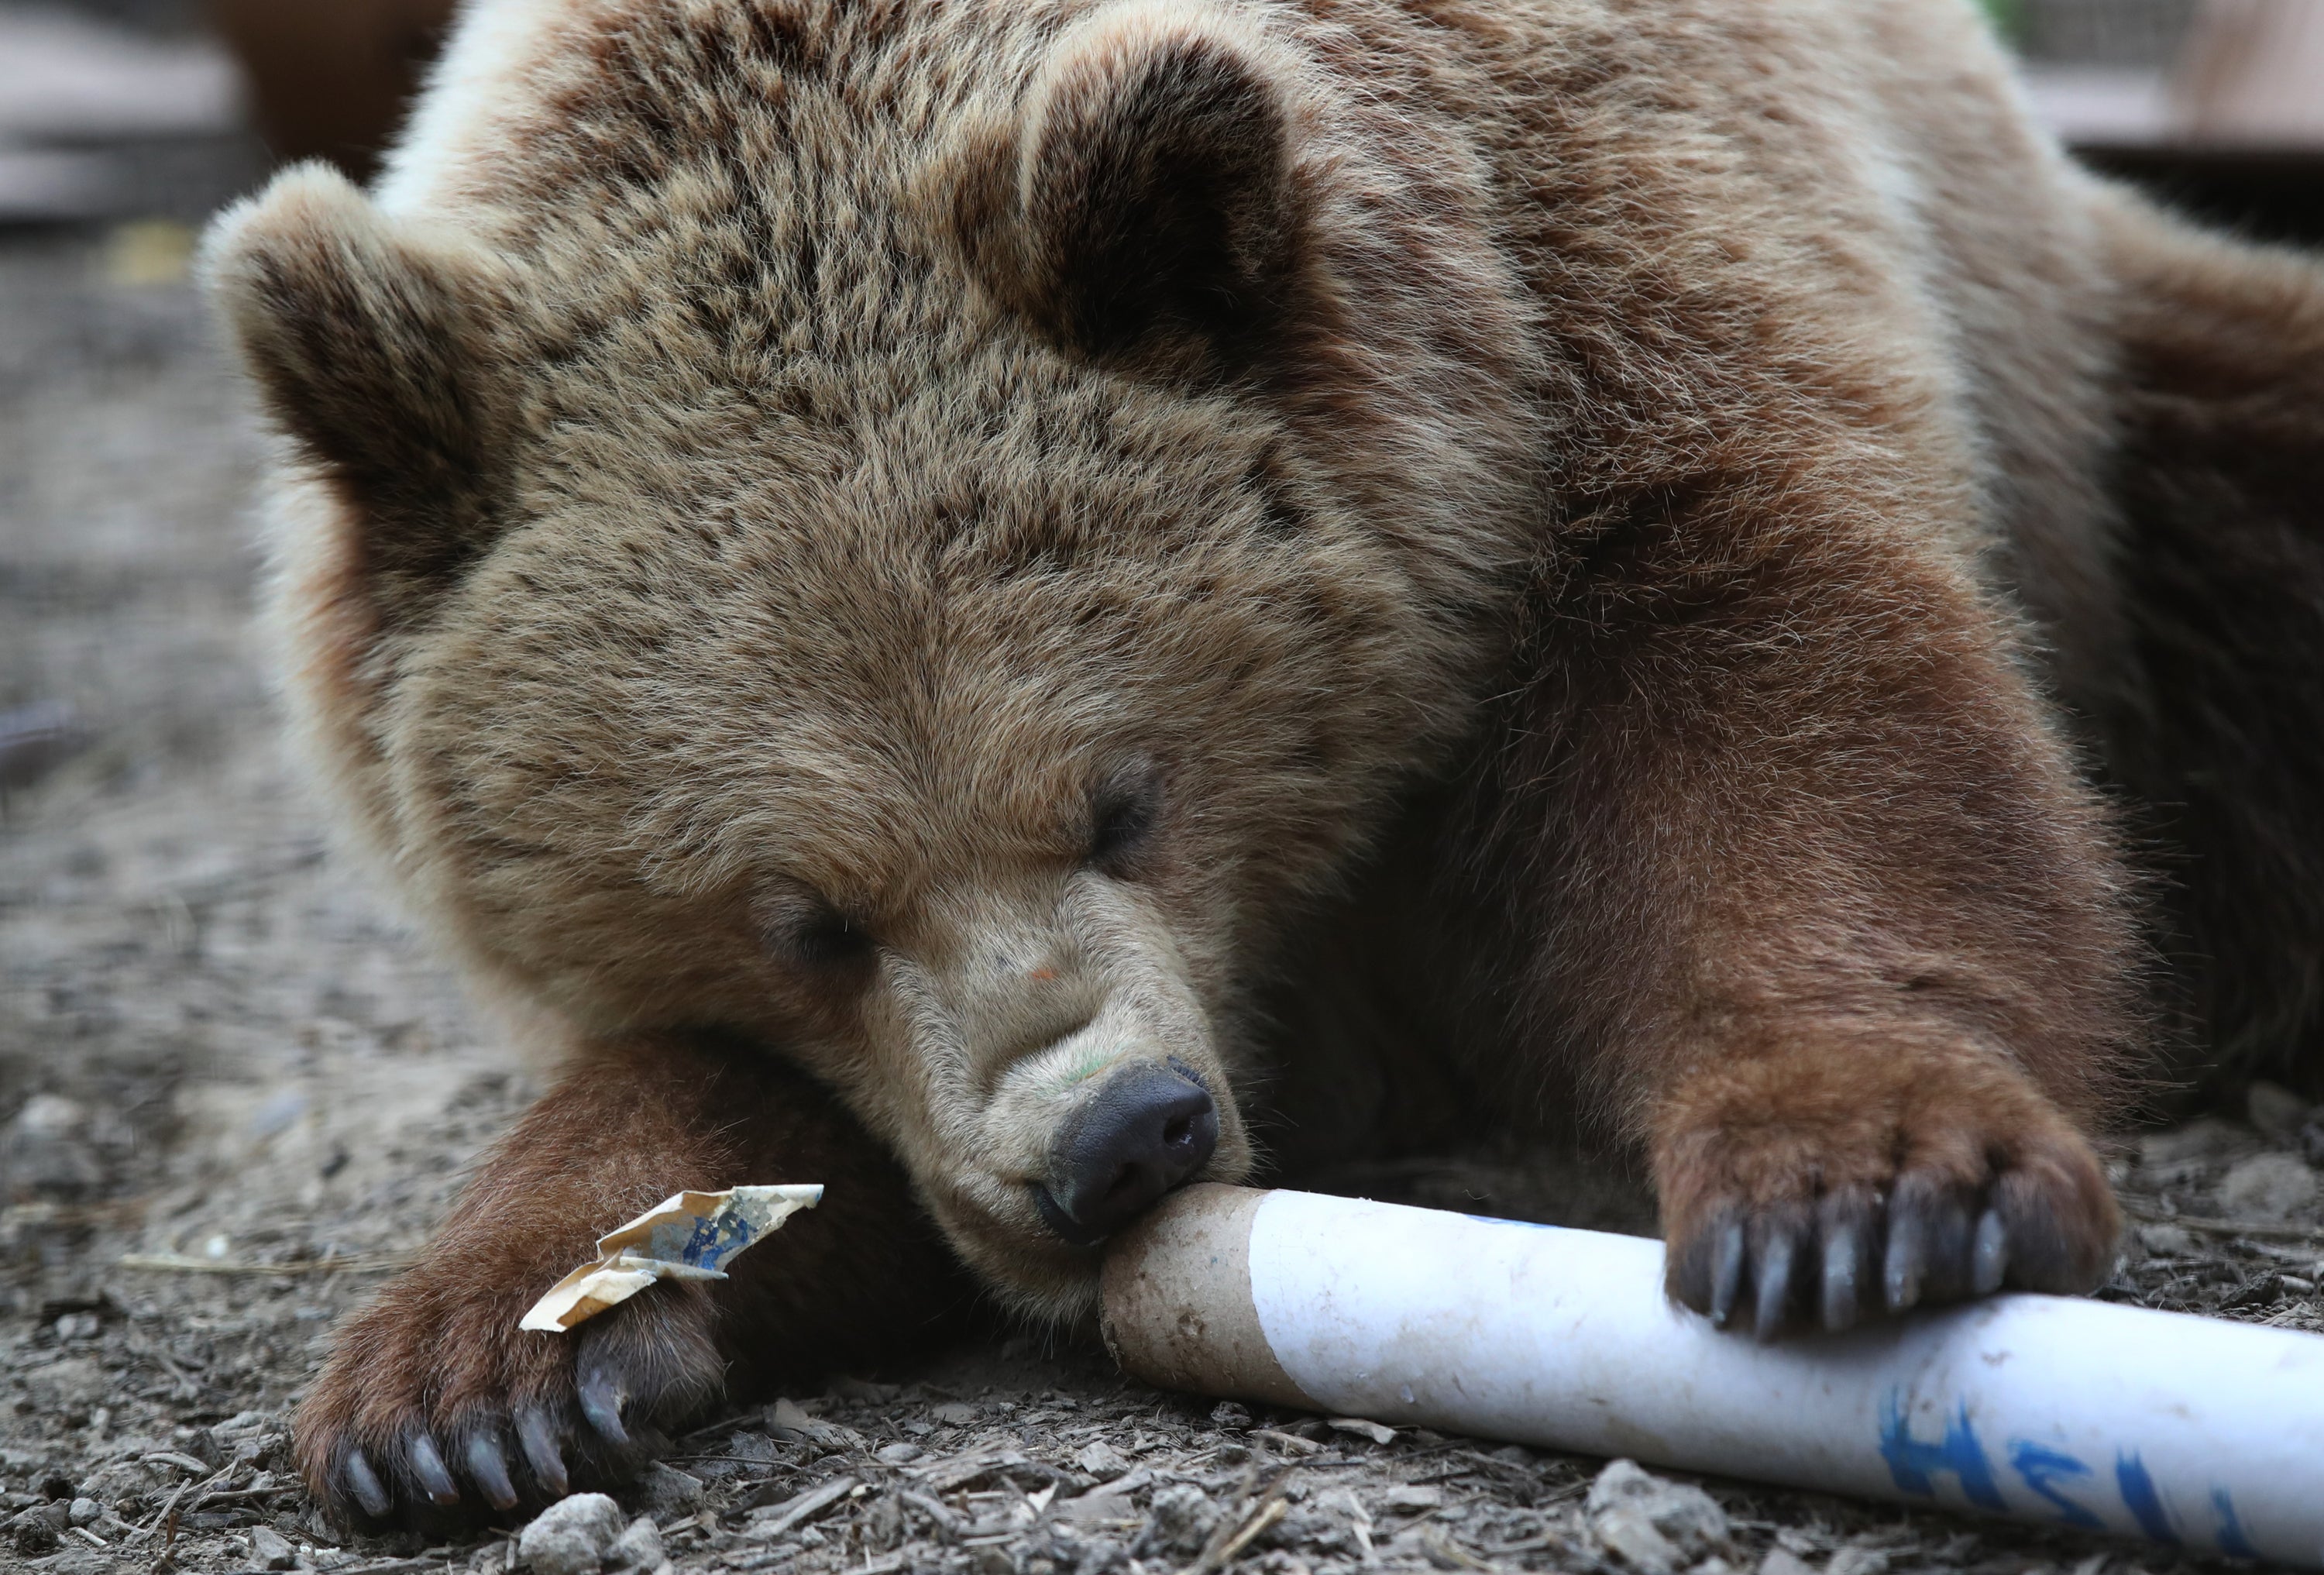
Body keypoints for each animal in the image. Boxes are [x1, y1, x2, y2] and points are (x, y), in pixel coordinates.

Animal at [205, 0, 2324, 1533]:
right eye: (804, 915)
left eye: (1124, 795)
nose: (1117, 1138)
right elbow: (722, 1116)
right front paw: (484, 1370)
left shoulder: (1595, 320)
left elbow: (1790, 711)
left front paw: (1860, 1199)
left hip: (2116, 422)